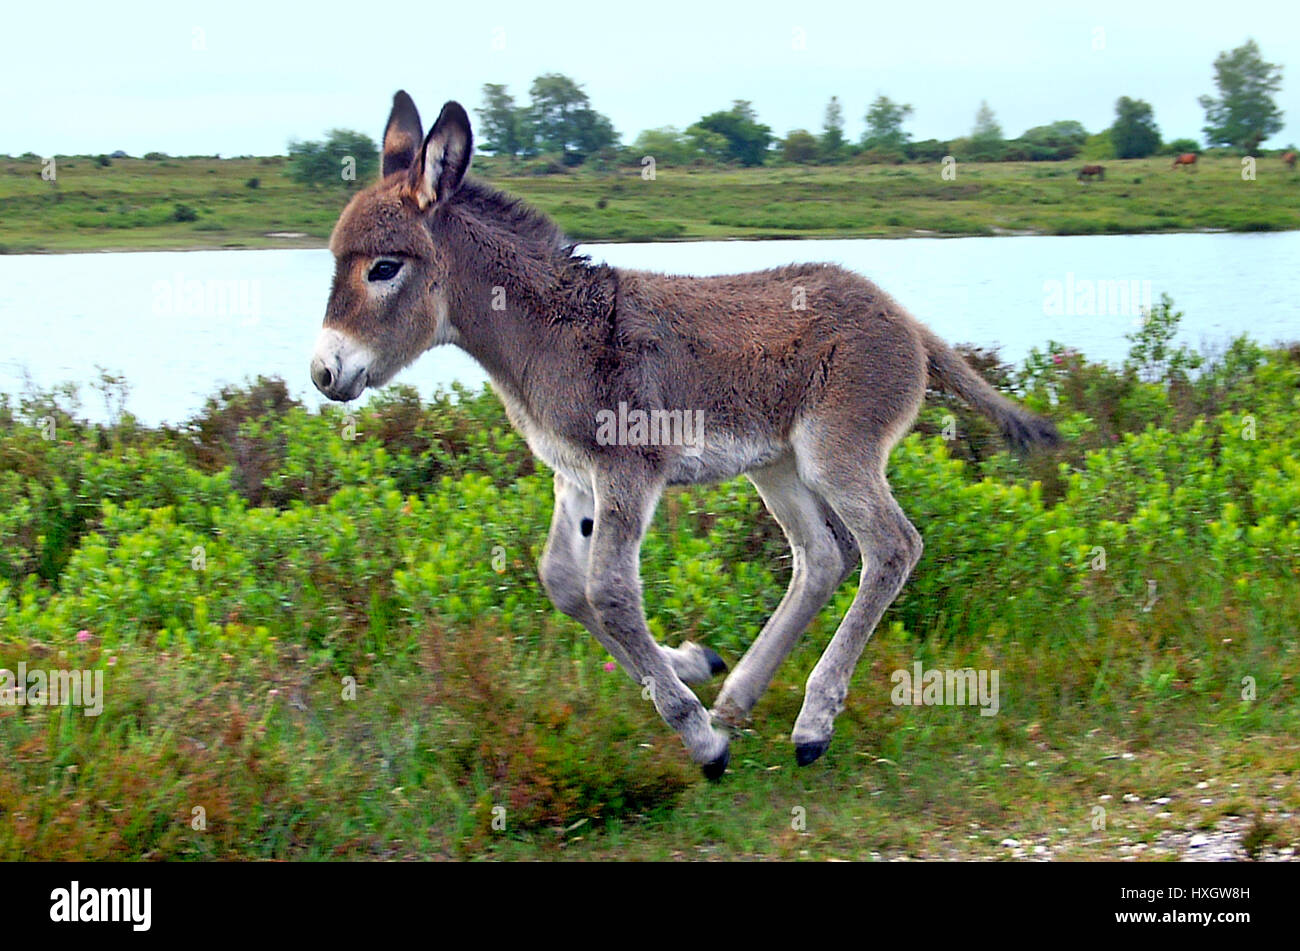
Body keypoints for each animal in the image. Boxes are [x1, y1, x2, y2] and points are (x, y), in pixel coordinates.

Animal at [309, 92, 1060, 779]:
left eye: (383, 268)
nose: (323, 373)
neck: (543, 332)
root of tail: (907, 320)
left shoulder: (627, 470)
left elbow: (610, 594)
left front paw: (699, 739)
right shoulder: (573, 475)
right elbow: (564, 584)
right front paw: (693, 665)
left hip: (836, 452)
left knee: (891, 547)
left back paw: (811, 722)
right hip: (776, 463)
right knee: (822, 557)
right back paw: (739, 695)